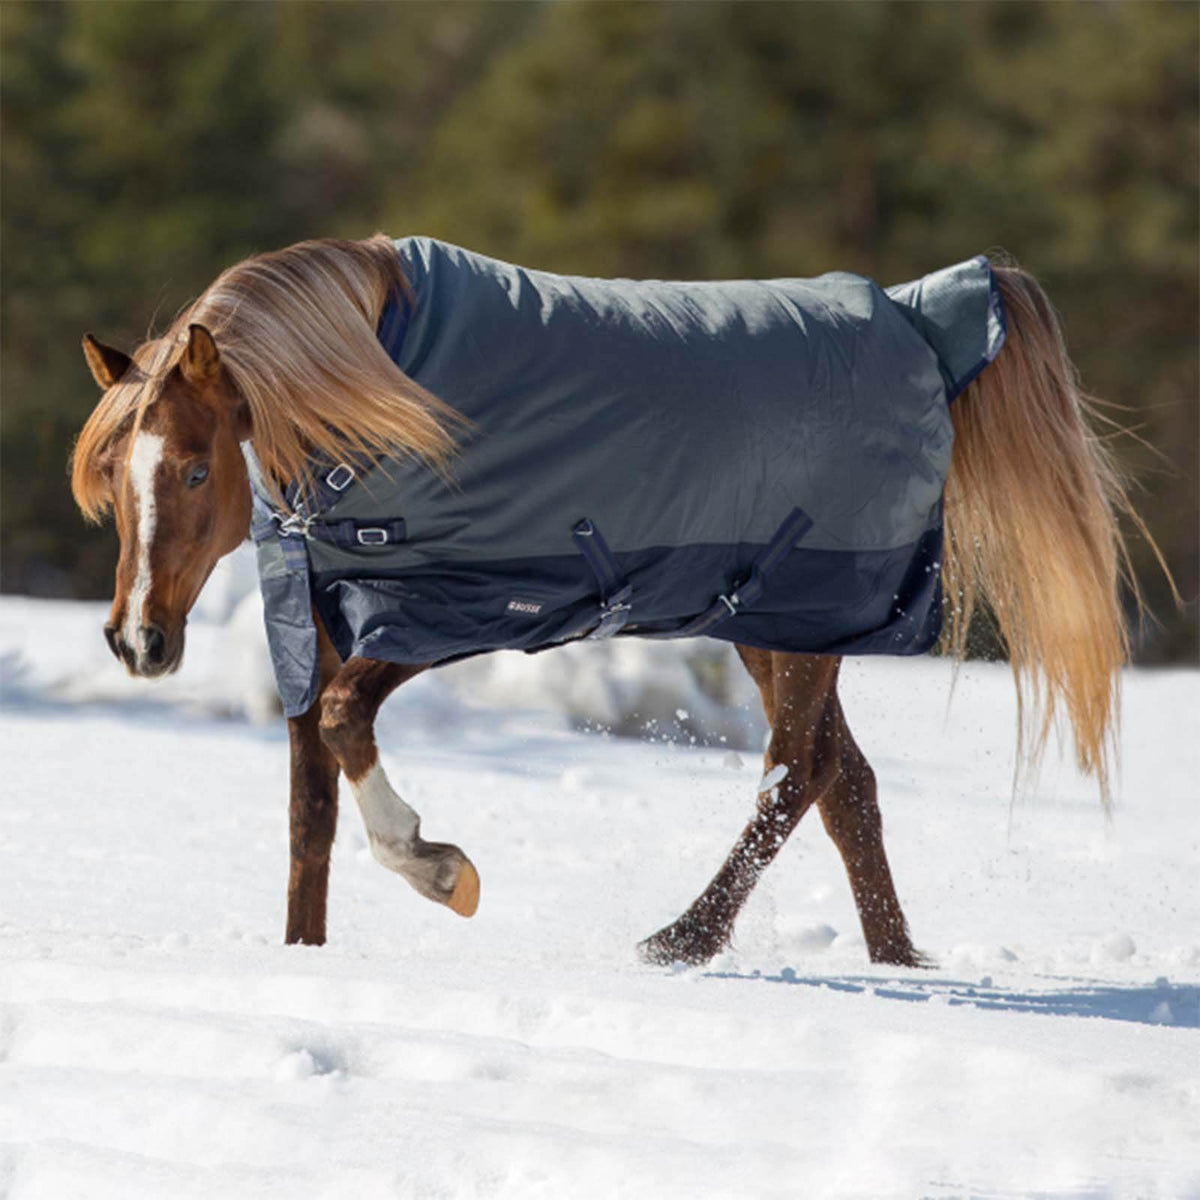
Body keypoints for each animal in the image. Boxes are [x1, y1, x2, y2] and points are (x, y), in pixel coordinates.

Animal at [71, 235, 1147, 967]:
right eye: (115, 482)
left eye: (197, 470)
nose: (137, 640)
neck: (382, 398)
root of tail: (919, 319)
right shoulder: (317, 628)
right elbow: (308, 815)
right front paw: (305, 958)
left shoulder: (454, 608)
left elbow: (344, 732)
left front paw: (439, 867)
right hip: (768, 620)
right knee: (847, 786)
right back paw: (894, 963)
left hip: (804, 617)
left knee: (797, 774)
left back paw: (682, 940)